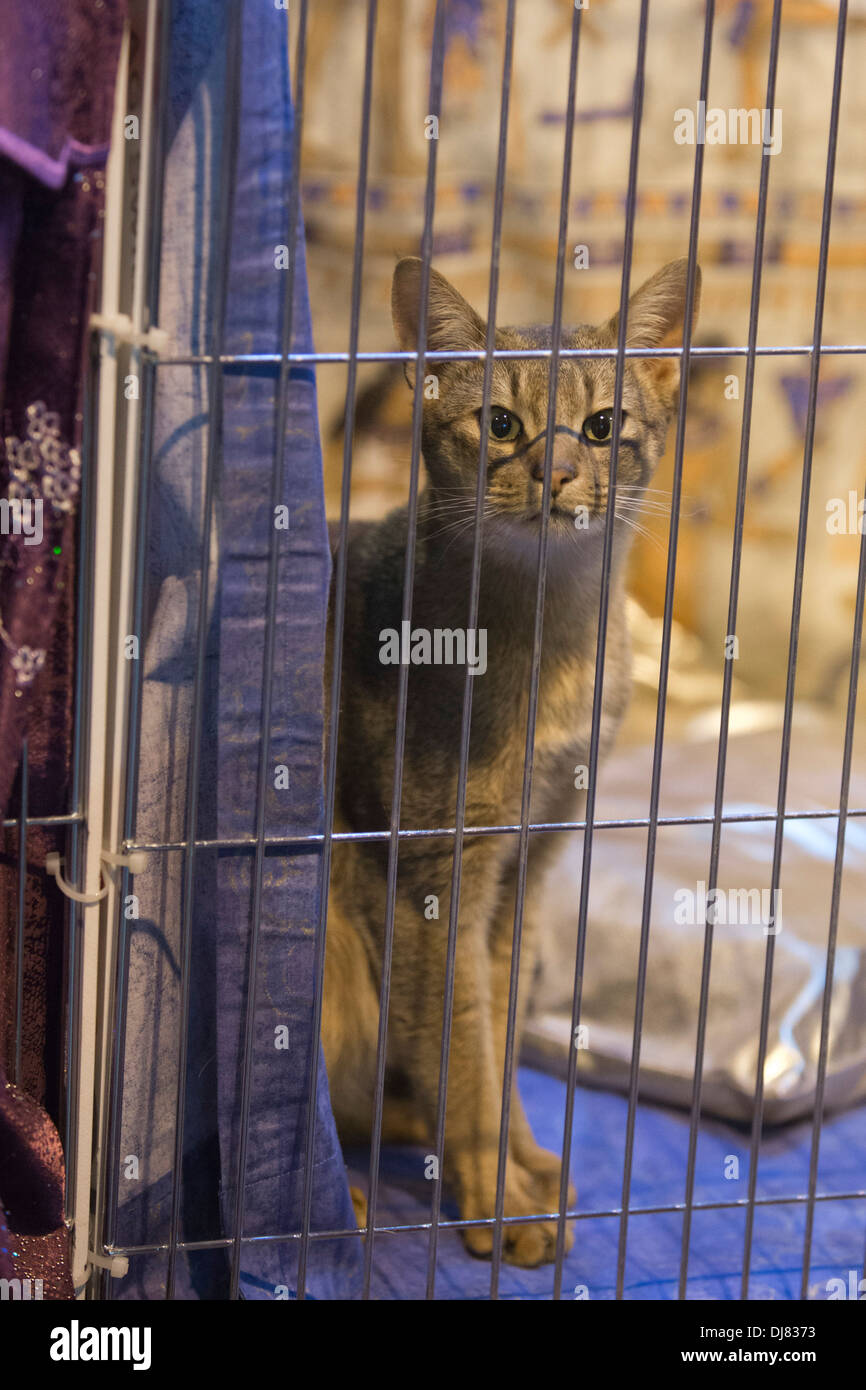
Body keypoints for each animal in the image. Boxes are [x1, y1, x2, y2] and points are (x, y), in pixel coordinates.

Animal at [322, 255, 700, 1267]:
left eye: (603, 427)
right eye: (500, 424)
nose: (557, 471)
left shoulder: (523, 873)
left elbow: (494, 1049)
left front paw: (520, 1166)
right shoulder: (434, 873)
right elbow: (464, 1056)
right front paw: (498, 1204)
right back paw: (344, 1200)